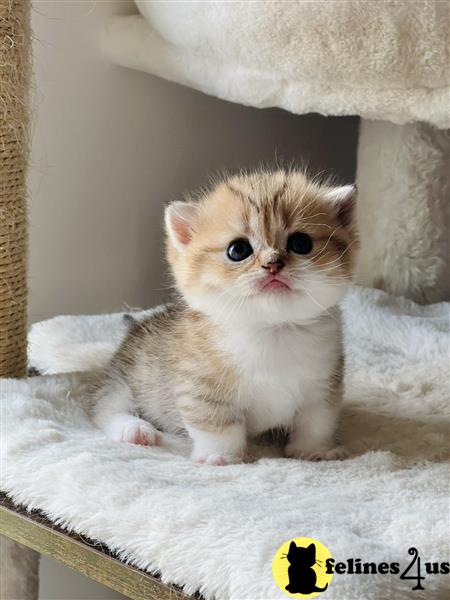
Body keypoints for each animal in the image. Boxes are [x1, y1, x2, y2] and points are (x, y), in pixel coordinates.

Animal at [92, 169, 358, 464]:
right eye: (238, 250)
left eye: (301, 243)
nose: (272, 264)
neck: (271, 329)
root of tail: (135, 326)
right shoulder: (201, 387)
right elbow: (217, 425)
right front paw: (219, 456)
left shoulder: (323, 386)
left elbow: (317, 422)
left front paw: (314, 450)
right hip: (123, 380)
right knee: (108, 408)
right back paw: (134, 429)